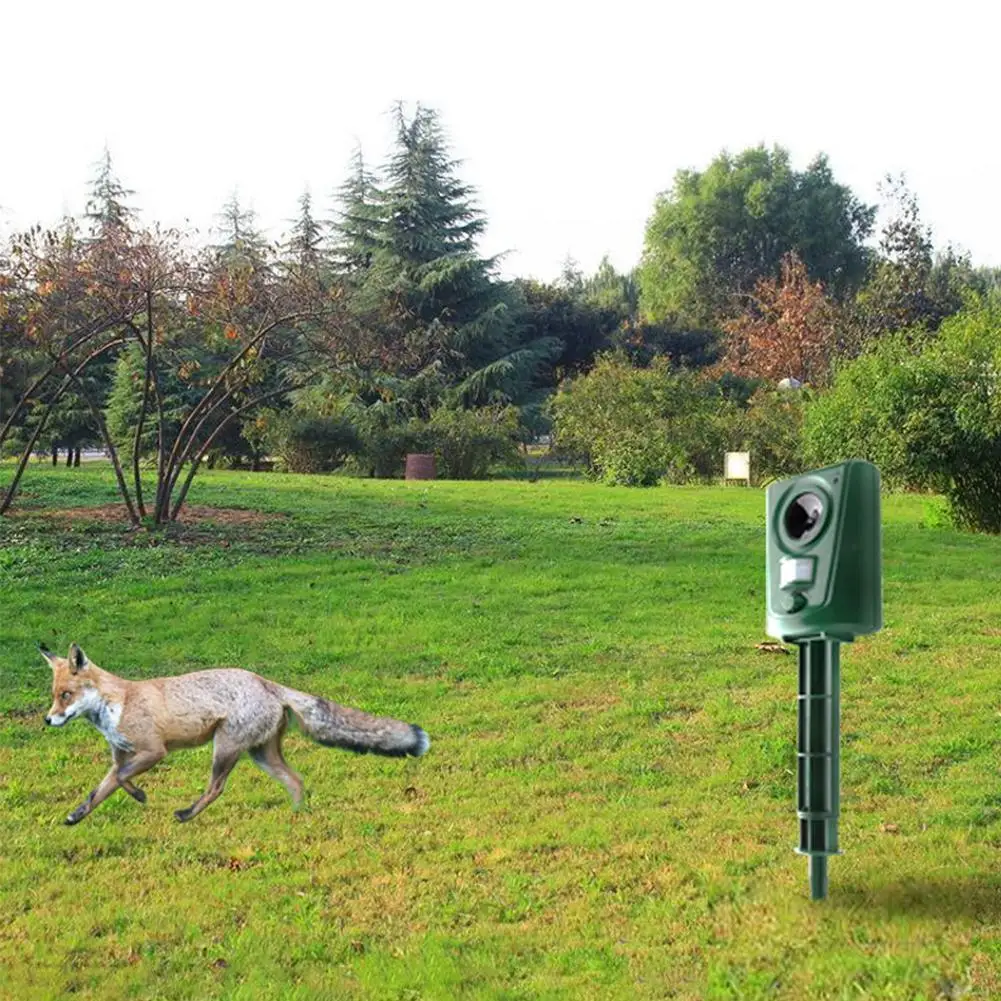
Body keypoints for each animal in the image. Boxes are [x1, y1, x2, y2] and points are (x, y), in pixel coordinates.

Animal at [40, 643, 430, 825]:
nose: (47, 720)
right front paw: (76, 817)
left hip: (224, 748)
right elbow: (100, 790)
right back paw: (297, 816)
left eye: (66, 696)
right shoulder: (120, 755)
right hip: (261, 755)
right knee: (296, 780)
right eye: (54, 695)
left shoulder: (153, 751)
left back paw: (187, 815)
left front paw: (140, 796)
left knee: (216, 788)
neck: (117, 704)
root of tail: (266, 682)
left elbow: (122, 780)